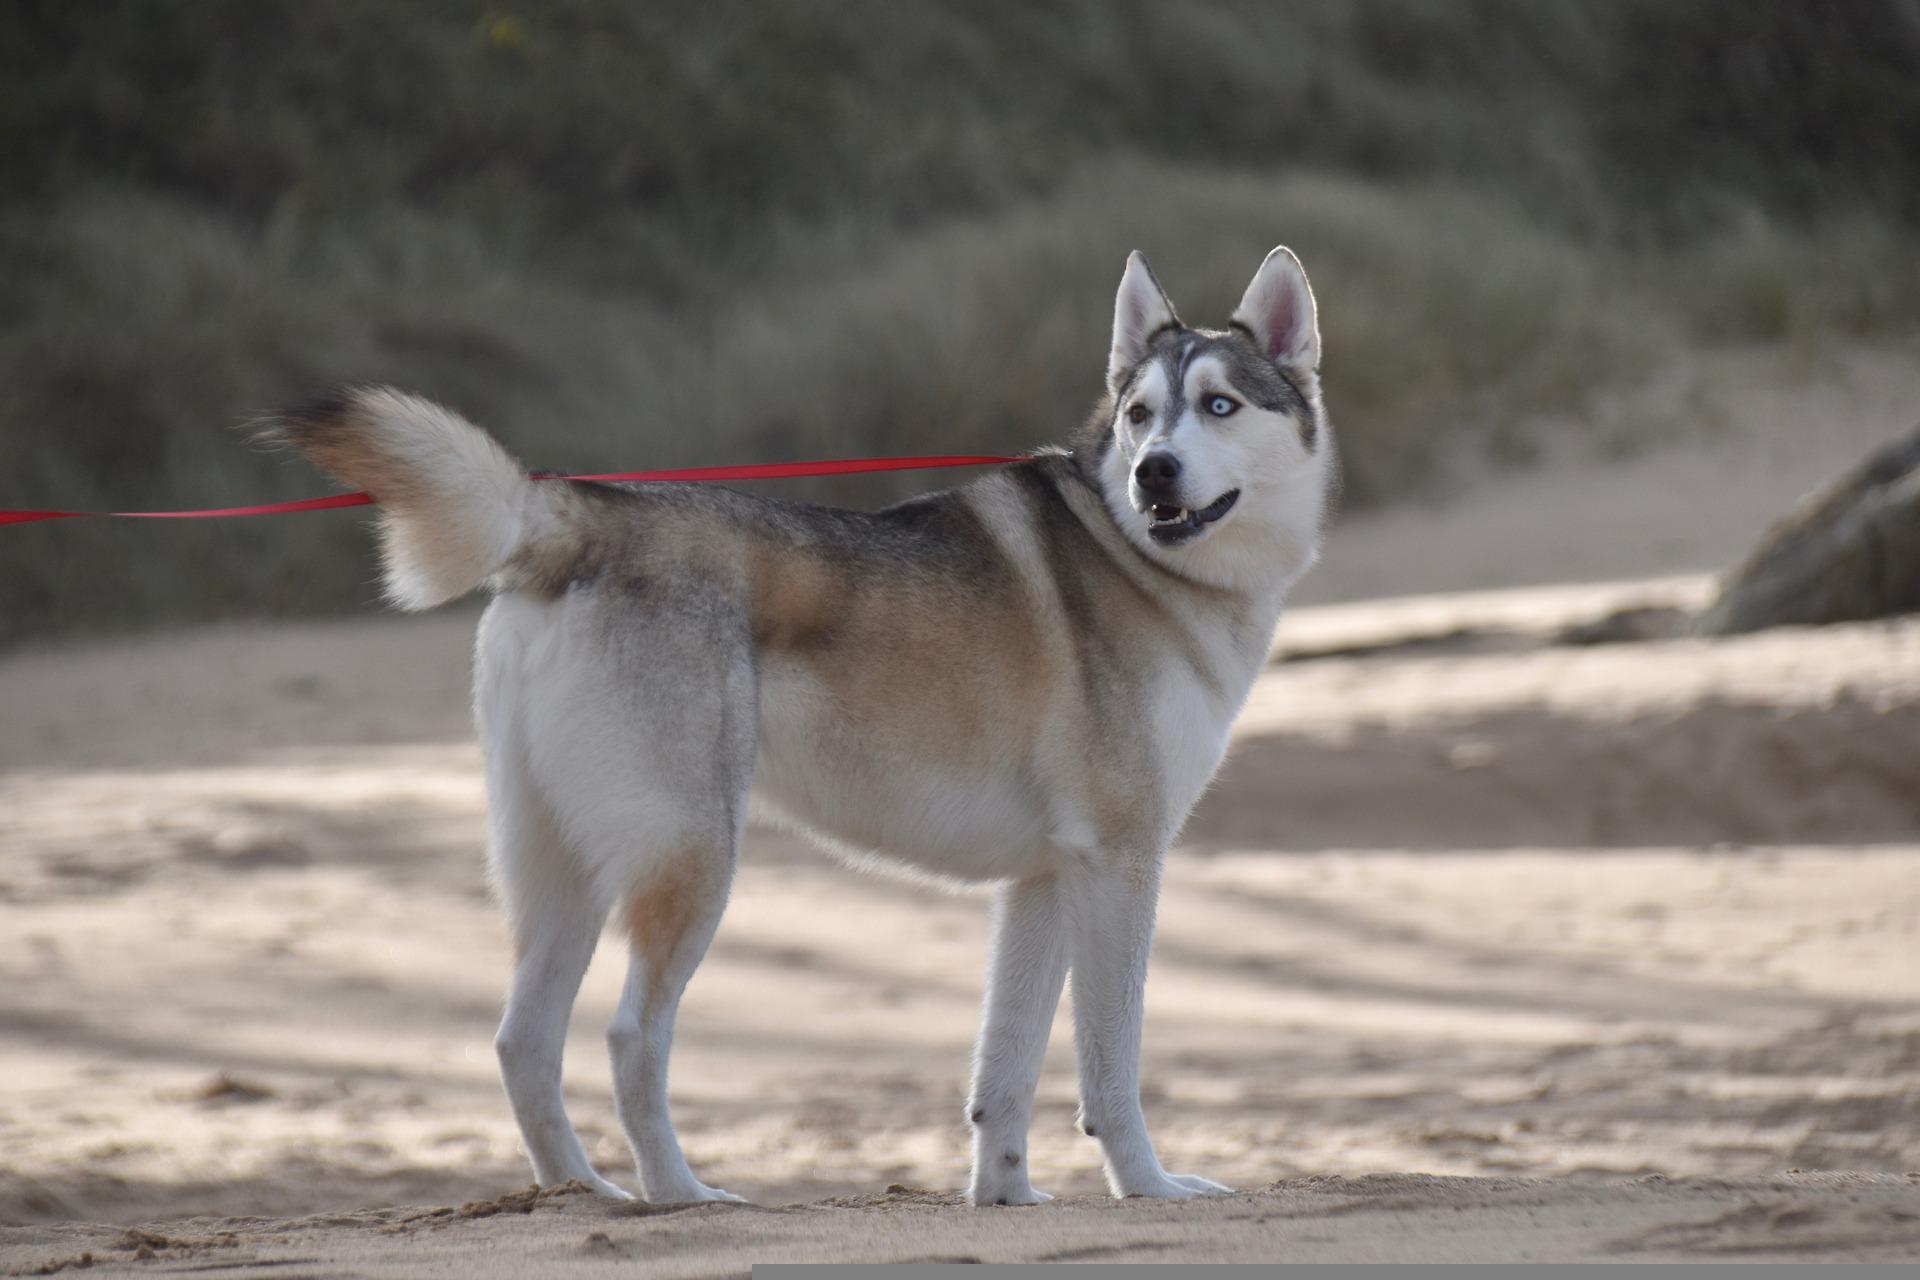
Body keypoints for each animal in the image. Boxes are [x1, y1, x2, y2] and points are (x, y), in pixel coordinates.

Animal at [270, 245, 1336, 1205]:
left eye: (1220, 406)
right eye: (1141, 414)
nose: (1155, 473)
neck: (1139, 557)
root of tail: (574, 515)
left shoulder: (1044, 881)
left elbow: (1008, 1072)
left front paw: (1005, 1198)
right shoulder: (1120, 865)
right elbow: (1111, 1068)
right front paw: (1149, 1186)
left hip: (561, 874)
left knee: (523, 1043)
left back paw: (582, 1195)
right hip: (692, 861)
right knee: (629, 1037)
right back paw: (679, 1195)